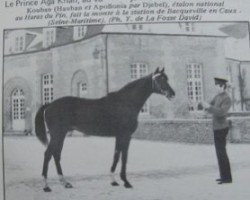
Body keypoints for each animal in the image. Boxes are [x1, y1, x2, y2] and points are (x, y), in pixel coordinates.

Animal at [35, 67, 175, 192]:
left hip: (60, 135)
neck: (125, 102)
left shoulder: (120, 136)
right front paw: (126, 182)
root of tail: (49, 105)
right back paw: (46, 186)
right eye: (160, 79)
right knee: (48, 154)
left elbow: (116, 155)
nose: (172, 94)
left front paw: (114, 181)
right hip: (57, 134)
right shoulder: (125, 135)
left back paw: (65, 183)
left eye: (166, 78)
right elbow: (124, 157)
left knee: (56, 155)